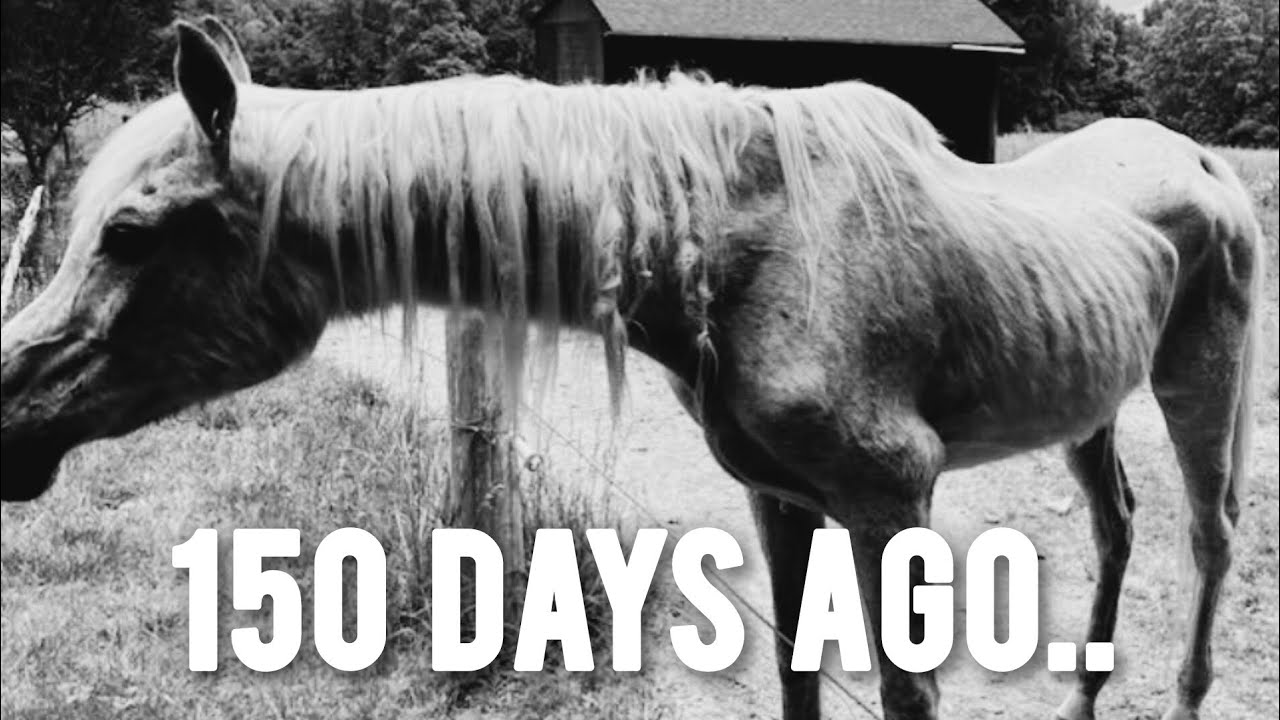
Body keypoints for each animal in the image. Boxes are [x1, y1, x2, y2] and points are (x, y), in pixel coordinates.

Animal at [0, 18, 1263, 720]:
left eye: (127, 233)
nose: (9, 410)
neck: (733, 243)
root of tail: (1201, 160)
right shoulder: (781, 499)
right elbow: (799, 676)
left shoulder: (886, 495)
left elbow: (905, 688)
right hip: (1087, 405)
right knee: (1114, 526)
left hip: (1197, 384)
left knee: (1207, 539)